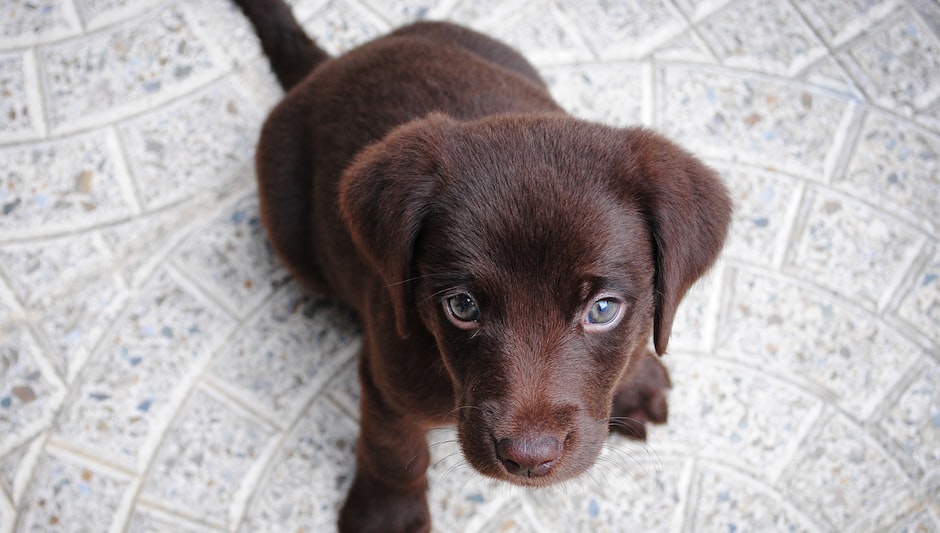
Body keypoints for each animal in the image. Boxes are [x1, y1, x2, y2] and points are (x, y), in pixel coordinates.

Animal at [231, 2, 732, 528]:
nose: (528, 458)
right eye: (462, 306)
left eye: (602, 309)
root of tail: (328, 66)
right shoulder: (388, 376)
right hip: (289, 228)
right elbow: (394, 448)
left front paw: (636, 378)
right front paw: (389, 513)